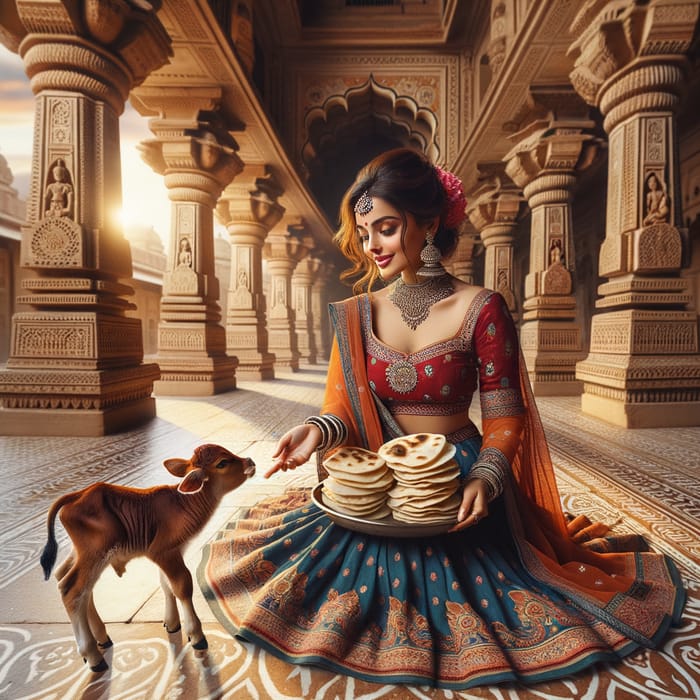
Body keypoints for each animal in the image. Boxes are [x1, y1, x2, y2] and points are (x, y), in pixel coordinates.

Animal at [40, 442, 254, 672]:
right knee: (72, 590)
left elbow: (166, 584)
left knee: (73, 582)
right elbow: (182, 585)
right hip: (94, 554)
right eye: (222, 463)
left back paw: (102, 638)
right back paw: (93, 656)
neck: (183, 503)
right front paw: (196, 635)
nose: (250, 461)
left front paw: (172, 624)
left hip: (84, 555)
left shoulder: (171, 553)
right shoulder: (163, 552)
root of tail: (78, 494)